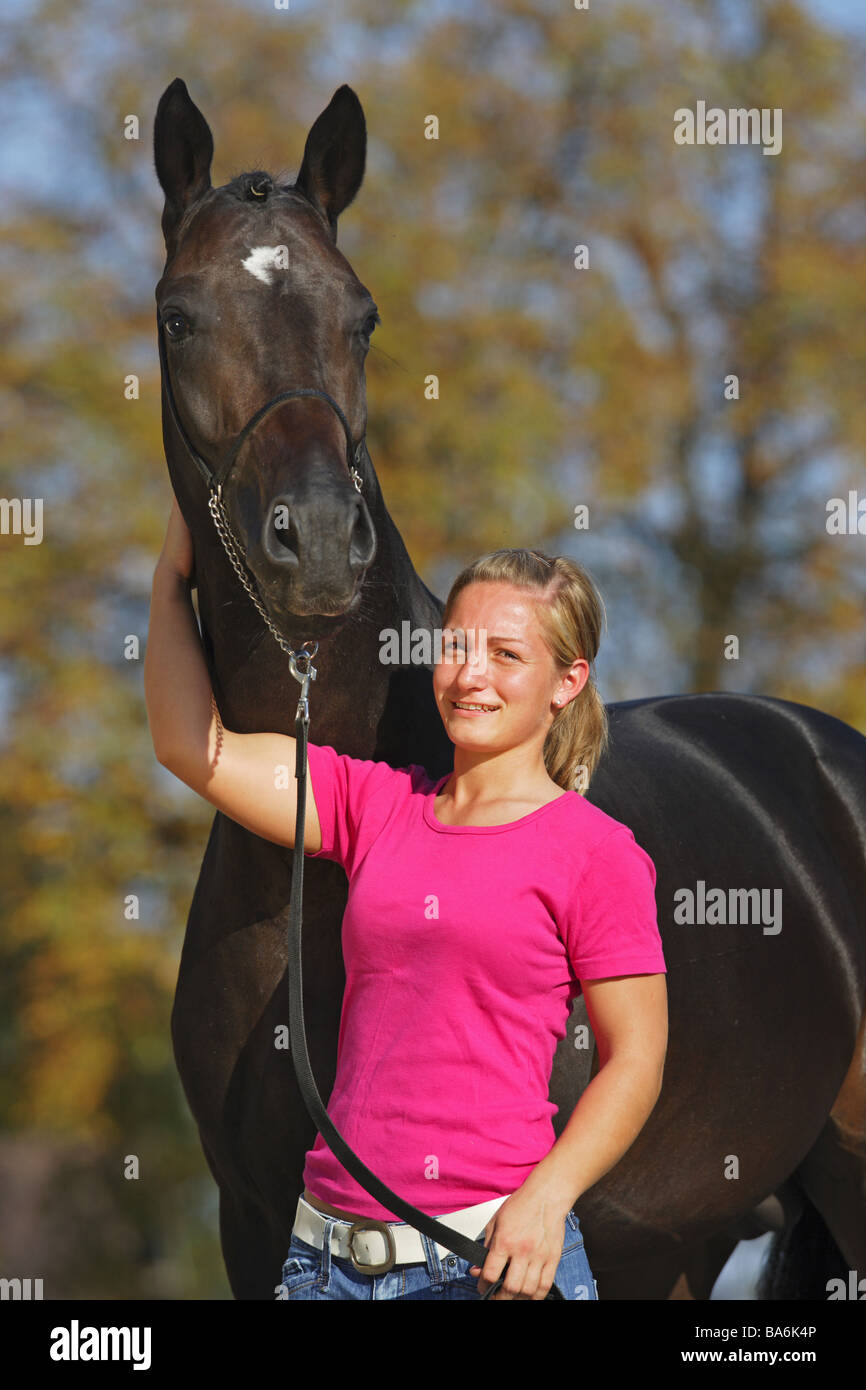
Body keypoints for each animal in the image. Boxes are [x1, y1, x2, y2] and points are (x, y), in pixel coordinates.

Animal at [153, 79, 866, 1300]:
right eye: (178, 317)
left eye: (363, 318)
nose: (320, 545)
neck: (296, 877)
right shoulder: (253, 1221)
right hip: (683, 1238)